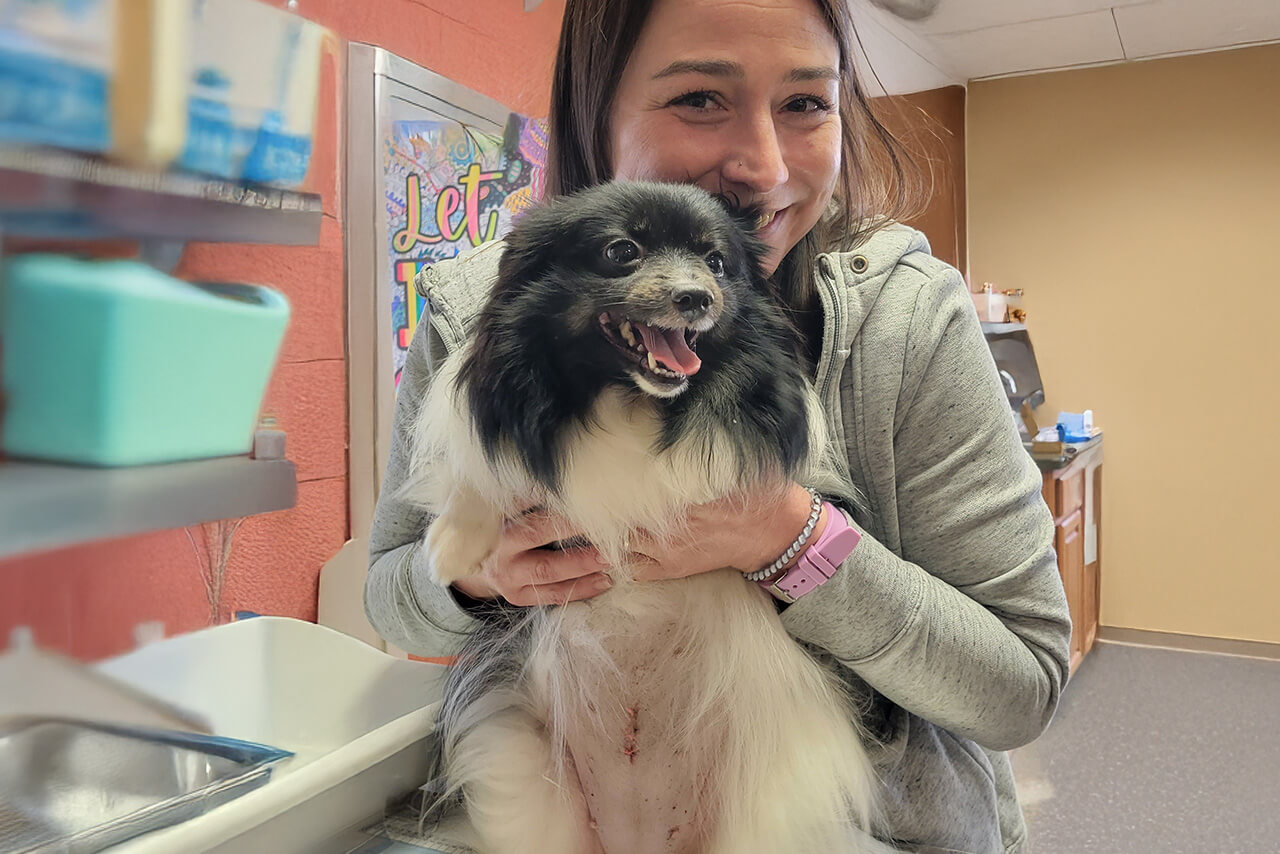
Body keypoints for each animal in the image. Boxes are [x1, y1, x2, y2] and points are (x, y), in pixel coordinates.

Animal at [407, 184, 880, 850]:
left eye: (716, 263)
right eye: (621, 251)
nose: (697, 298)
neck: (627, 400)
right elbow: (481, 474)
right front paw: (449, 545)